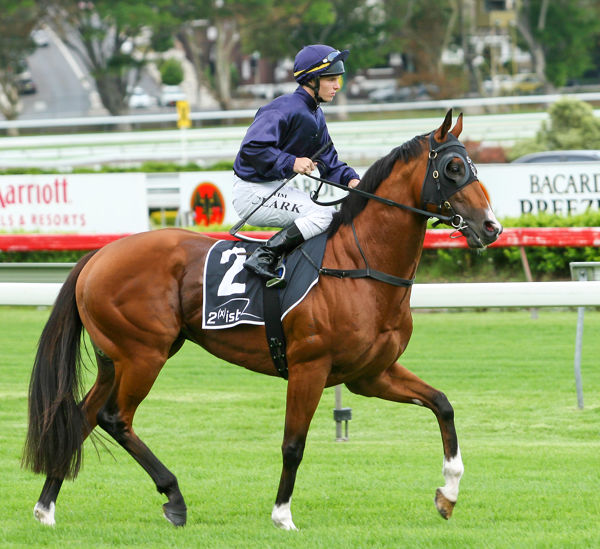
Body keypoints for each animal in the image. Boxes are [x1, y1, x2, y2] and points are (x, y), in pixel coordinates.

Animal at [22, 110, 502, 528]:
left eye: (472, 165)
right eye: (454, 167)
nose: (492, 227)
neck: (359, 264)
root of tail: (99, 254)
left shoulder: (371, 373)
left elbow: (442, 404)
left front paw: (448, 494)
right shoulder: (310, 368)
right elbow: (294, 444)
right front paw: (282, 515)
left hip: (117, 359)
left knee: (82, 416)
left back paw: (46, 507)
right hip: (144, 355)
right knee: (116, 418)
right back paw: (173, 497)